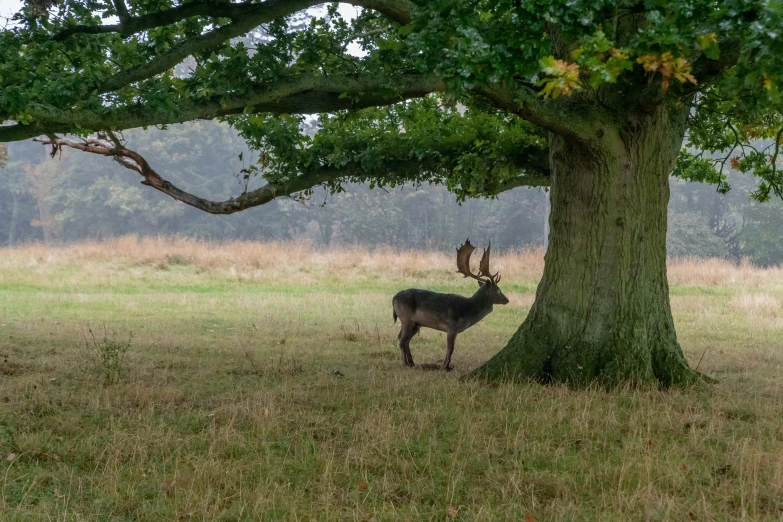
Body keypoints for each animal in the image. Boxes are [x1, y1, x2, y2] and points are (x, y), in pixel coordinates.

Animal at [390, 240, 508, 370]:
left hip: (416, 324)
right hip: (406, 318)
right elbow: (450, 348)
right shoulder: (452, 326)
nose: (507, 300)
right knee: (401, 338)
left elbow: (450, 348)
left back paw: (411, 363)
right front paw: (446, 367)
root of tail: (394, 297)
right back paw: (405, 363)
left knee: (405, 340)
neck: (468, 311)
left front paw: (445, 365)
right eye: (498, 290)